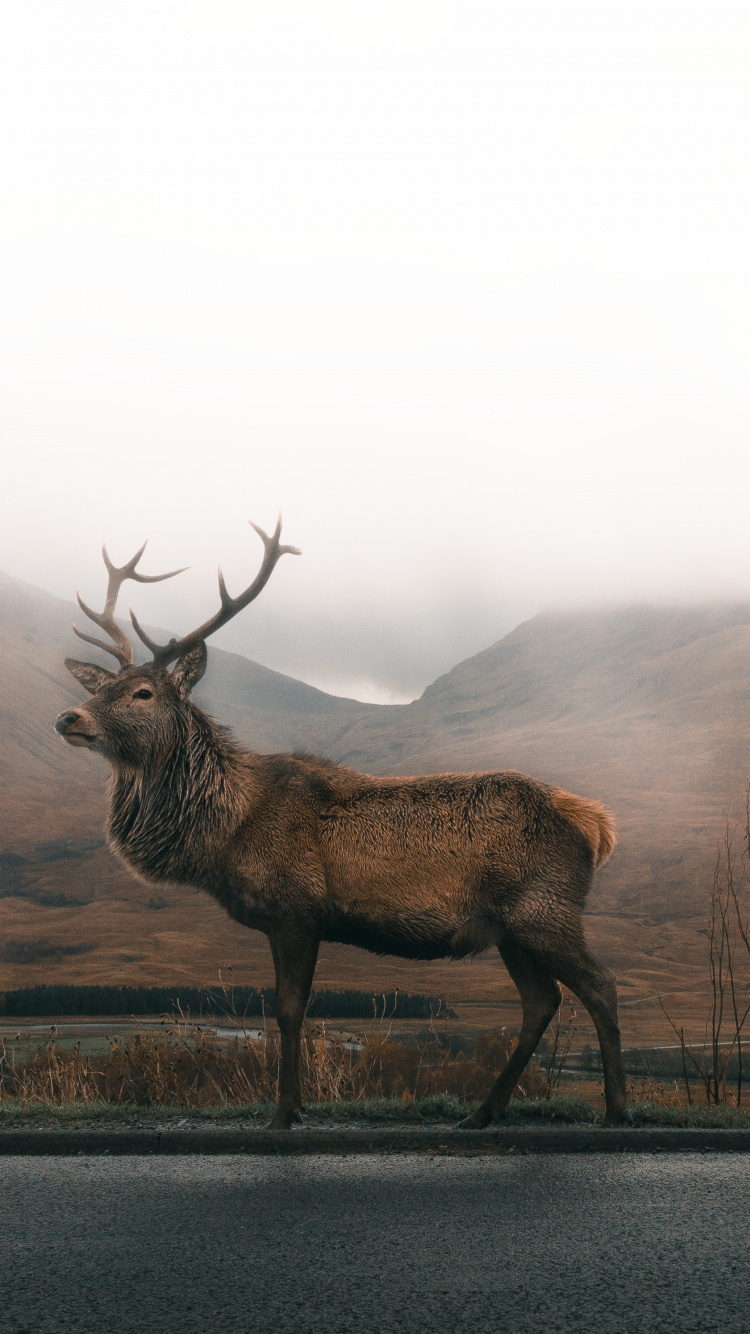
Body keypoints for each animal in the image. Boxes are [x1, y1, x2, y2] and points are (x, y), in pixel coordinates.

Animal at [54, 519, 631, 1129]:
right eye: (99, 688)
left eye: (143, 692)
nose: (69, 717)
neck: (225, 834)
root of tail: (596, 825)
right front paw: (296, 1104)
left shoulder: (297, 911)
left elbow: (288, 1013)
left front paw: (284, 1112)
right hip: (510, 929)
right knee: (542, 1001)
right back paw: (482, 1111)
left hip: (545, 909)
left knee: (600, 984)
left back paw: (616, 1108)